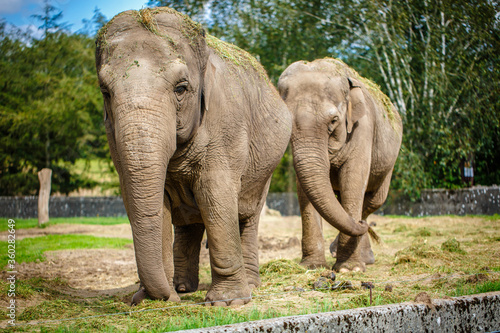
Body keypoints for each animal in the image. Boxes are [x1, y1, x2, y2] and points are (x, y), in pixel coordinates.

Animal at [95, 7, 292, 304]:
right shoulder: (112, 134)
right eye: (105, 92)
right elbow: (147, 199)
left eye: (180, 88)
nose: (162, 297)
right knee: (188, 223)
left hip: (266, 166)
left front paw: (227, 301)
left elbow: (215, 193)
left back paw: (250, 286)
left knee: (247, 216)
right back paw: (183, 288)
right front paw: (154, 300)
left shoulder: (226, 123)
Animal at [278, 58, 402, 272]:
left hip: (389, 164)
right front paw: (312, 266)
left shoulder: (363, 127)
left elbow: (353, 179)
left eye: (334, 120)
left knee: (372, 201)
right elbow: (304, 189)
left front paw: (349, 269)